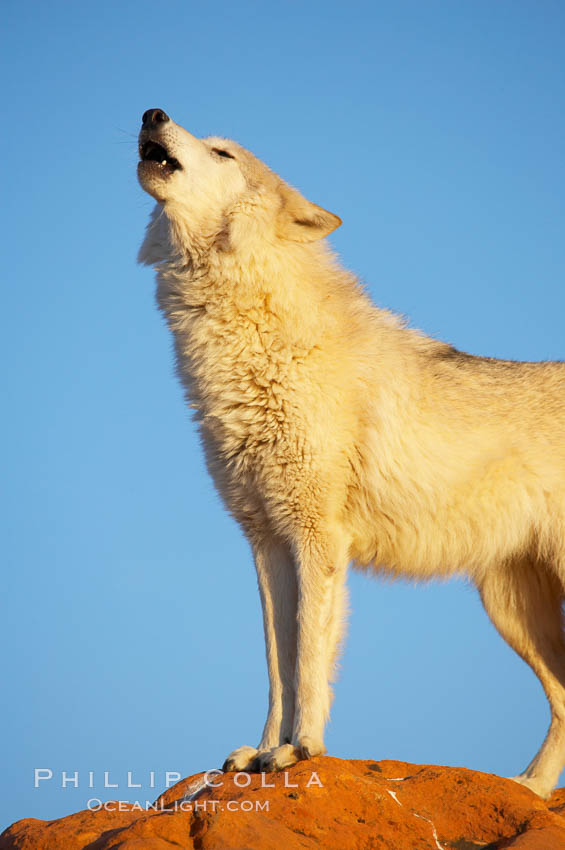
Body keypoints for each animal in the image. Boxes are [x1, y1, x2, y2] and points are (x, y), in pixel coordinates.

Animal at [138, 107, 564, 796]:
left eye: (224, 153)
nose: (153, 113)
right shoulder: (267, 542)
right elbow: (277, 662)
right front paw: (263, 750)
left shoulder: (318, 537)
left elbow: (310, 654)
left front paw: (299, 750)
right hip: (509, 608)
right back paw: (528, 789)